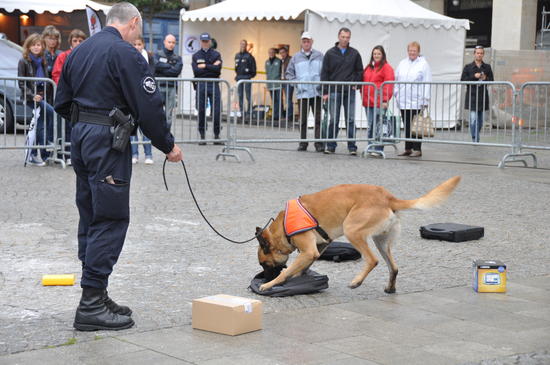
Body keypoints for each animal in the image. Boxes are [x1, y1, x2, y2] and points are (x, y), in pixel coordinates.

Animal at [258, 175, 462, 292]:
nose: (265, 276)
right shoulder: (319, 247)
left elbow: (287, 271)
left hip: (352, 230)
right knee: (394, 267)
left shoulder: (309, 250)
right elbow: (301, 267)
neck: (282, 227)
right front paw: (298, 277)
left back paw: (357, 281)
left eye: (264, 264)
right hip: (381, 241)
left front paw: (270, 284)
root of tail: (389, 198)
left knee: (372, 260)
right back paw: (390, 288)